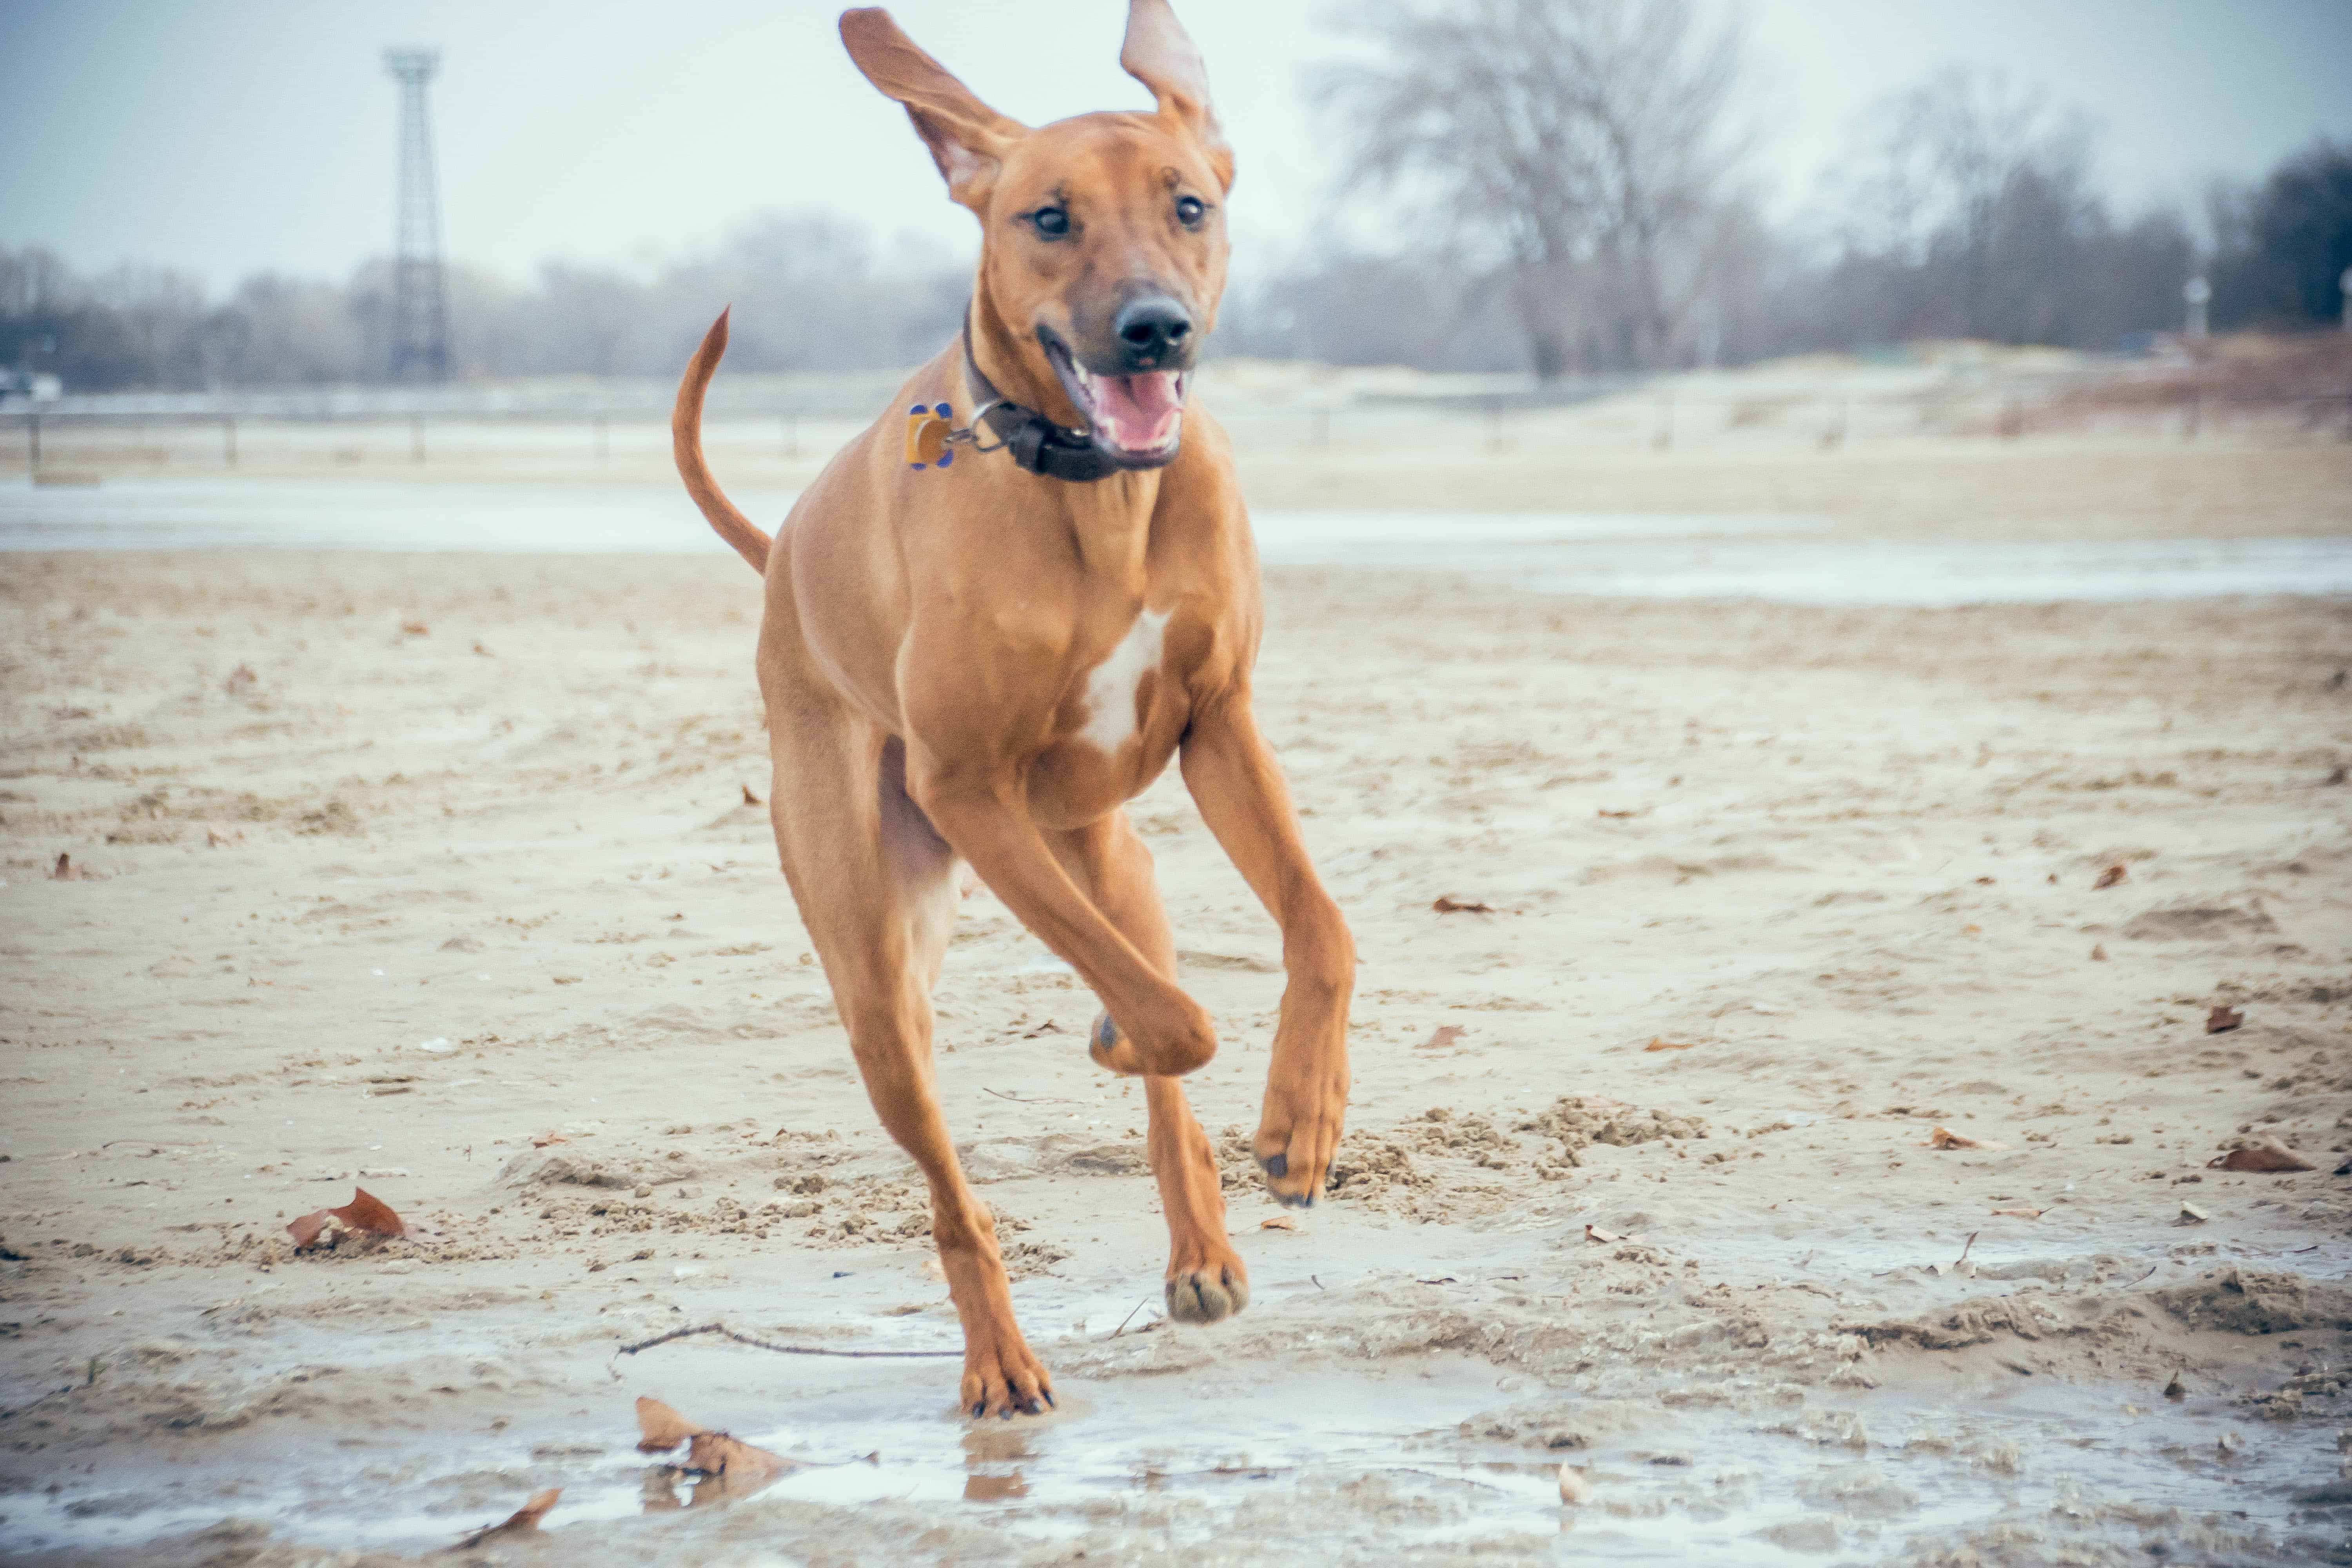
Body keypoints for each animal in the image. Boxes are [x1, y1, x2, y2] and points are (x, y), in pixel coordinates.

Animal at [673, 3, 1355, 1420]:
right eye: (1048, 217)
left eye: (1190, 204)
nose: (1155, 330)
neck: (1100, 493)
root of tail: (785, 563)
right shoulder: (969, 792)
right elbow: (1179, 1020)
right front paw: (1157, 1046)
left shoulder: (1221, 722)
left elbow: (1320, 927)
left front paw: (1302, 1120)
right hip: (882, 972)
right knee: (956, 1191)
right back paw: (999, 1359)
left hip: (1108, 853)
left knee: (1150, 1011)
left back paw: (1200, 1248)